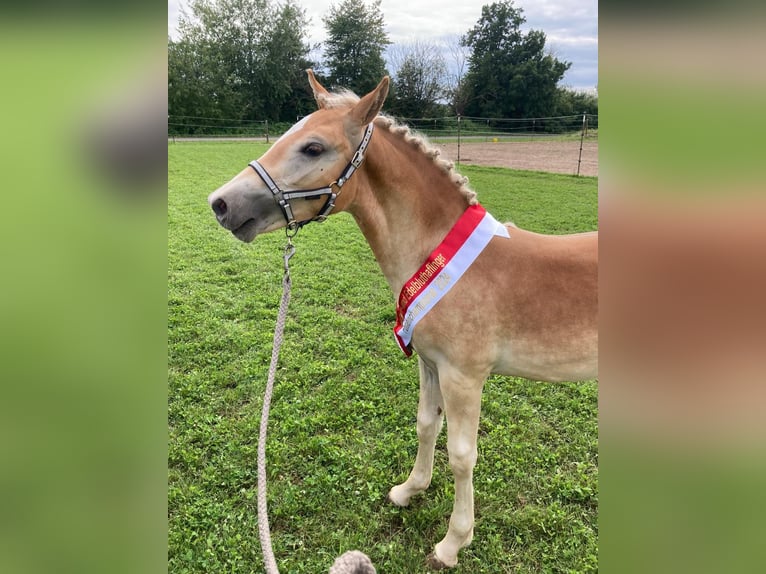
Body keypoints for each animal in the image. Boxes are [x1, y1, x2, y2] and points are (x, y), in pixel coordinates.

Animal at [210, 72, 600, 572]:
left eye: (313, 148)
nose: (221, 203)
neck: (443, 260)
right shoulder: (430, 364)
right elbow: (425, 425)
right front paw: (409, 490)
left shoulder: (463, 377)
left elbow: (462, 456)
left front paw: (453, 543)